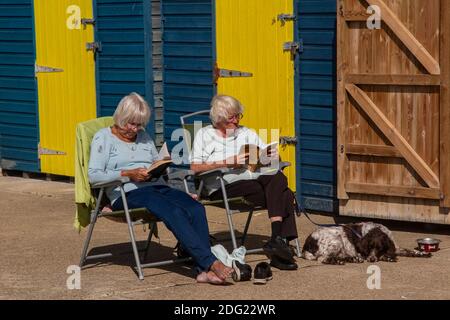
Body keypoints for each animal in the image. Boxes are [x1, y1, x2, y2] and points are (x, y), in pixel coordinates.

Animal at [300, 221, 430, 264]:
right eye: (369, 247)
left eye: (379, 248)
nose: (371, 259)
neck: (375, 230)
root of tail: (306, 245)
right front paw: (387, 258)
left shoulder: (395, 247)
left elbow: (409, 250)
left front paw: (422, 253)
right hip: (336, 241)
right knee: (323, 258)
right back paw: (340, 261)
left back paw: (352, 259)